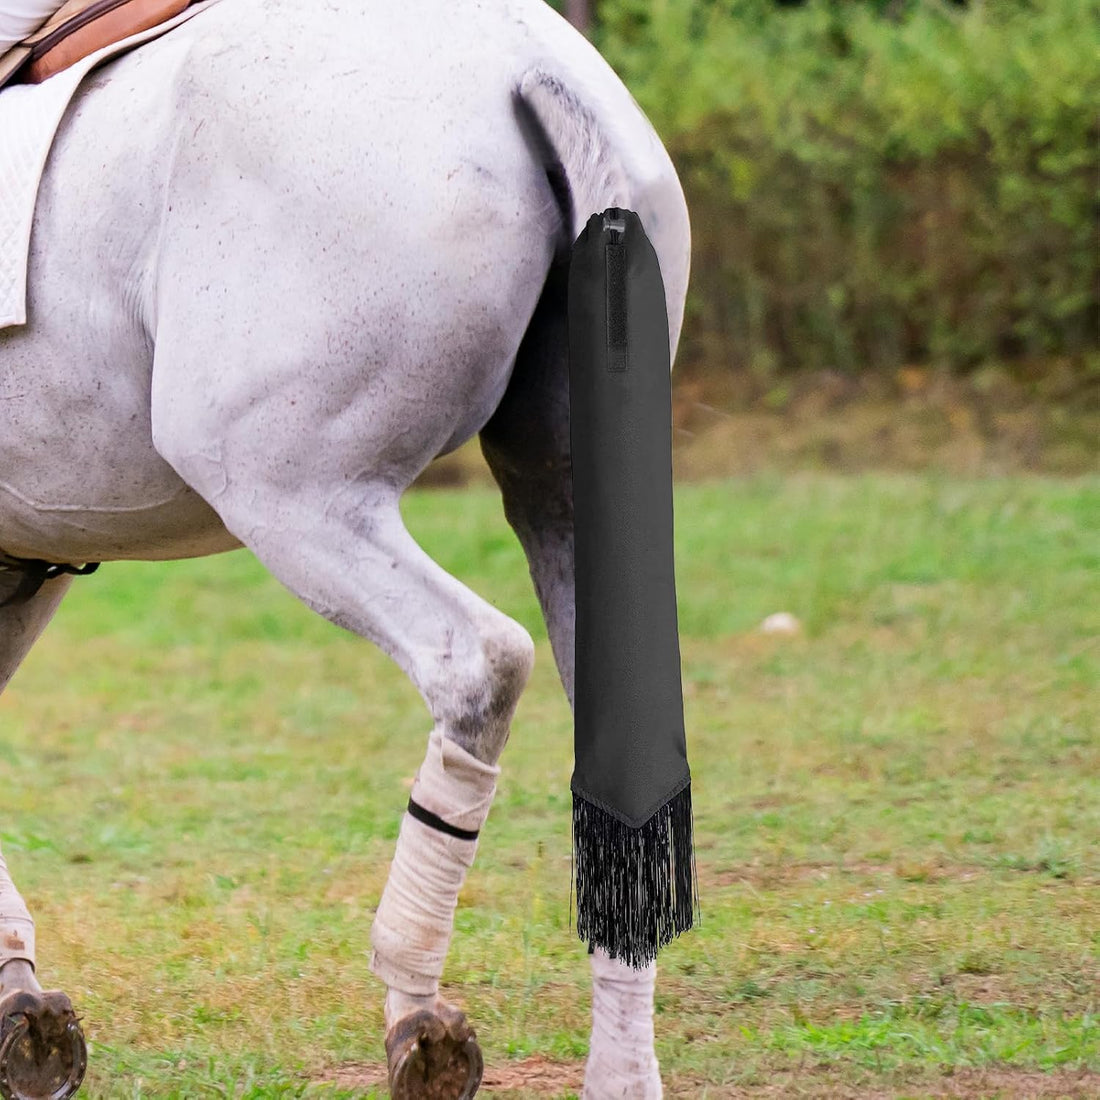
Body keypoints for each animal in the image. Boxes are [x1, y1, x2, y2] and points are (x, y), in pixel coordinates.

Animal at [0, 0, 691, 1095]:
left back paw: (418, 1005)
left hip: (295, 496)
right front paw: (20, 998)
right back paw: (618, 1072)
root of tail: (532, 61)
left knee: (476, 662)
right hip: (565, 499)